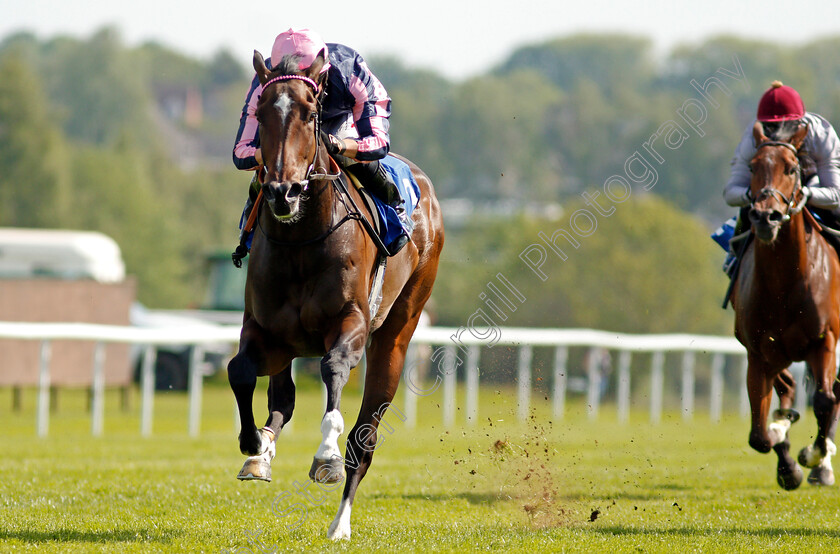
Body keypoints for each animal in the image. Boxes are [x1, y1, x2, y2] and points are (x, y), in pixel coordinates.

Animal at [226, 49, 442, 536]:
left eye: (311, 114)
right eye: (260, 114)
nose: (282, 191)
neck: (301, 239)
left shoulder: (352, 323)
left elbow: (334, 367)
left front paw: (324, 453)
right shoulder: (266, 332)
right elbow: (239, 371)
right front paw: (253, 444)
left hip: (397, 333)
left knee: (364, 439)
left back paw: (339, 524)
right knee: (282, 399)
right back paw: (263, 453)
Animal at [728, 121, 840, 488]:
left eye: (791, 168)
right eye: (752, 167)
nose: (766, 217)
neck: (783, 283)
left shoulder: (825, 340)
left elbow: (824, 400)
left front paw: (814, 456)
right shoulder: (760, 351)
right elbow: (759, 435)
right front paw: (786, 455)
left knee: (832, 395)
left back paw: (822, 465)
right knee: (788, 389)